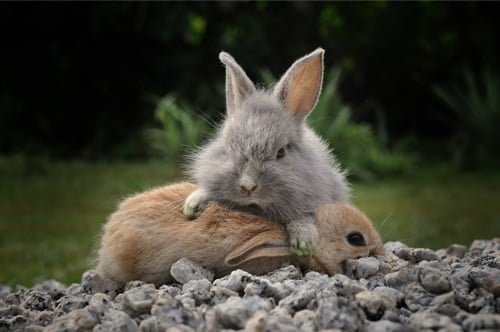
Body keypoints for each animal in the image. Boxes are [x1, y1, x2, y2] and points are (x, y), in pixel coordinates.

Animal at [182, 48, 350, 256]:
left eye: (281, 153)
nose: (248, 186)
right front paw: (192, 204)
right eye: (228, 149)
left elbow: (304, 217)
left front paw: (304, 243)